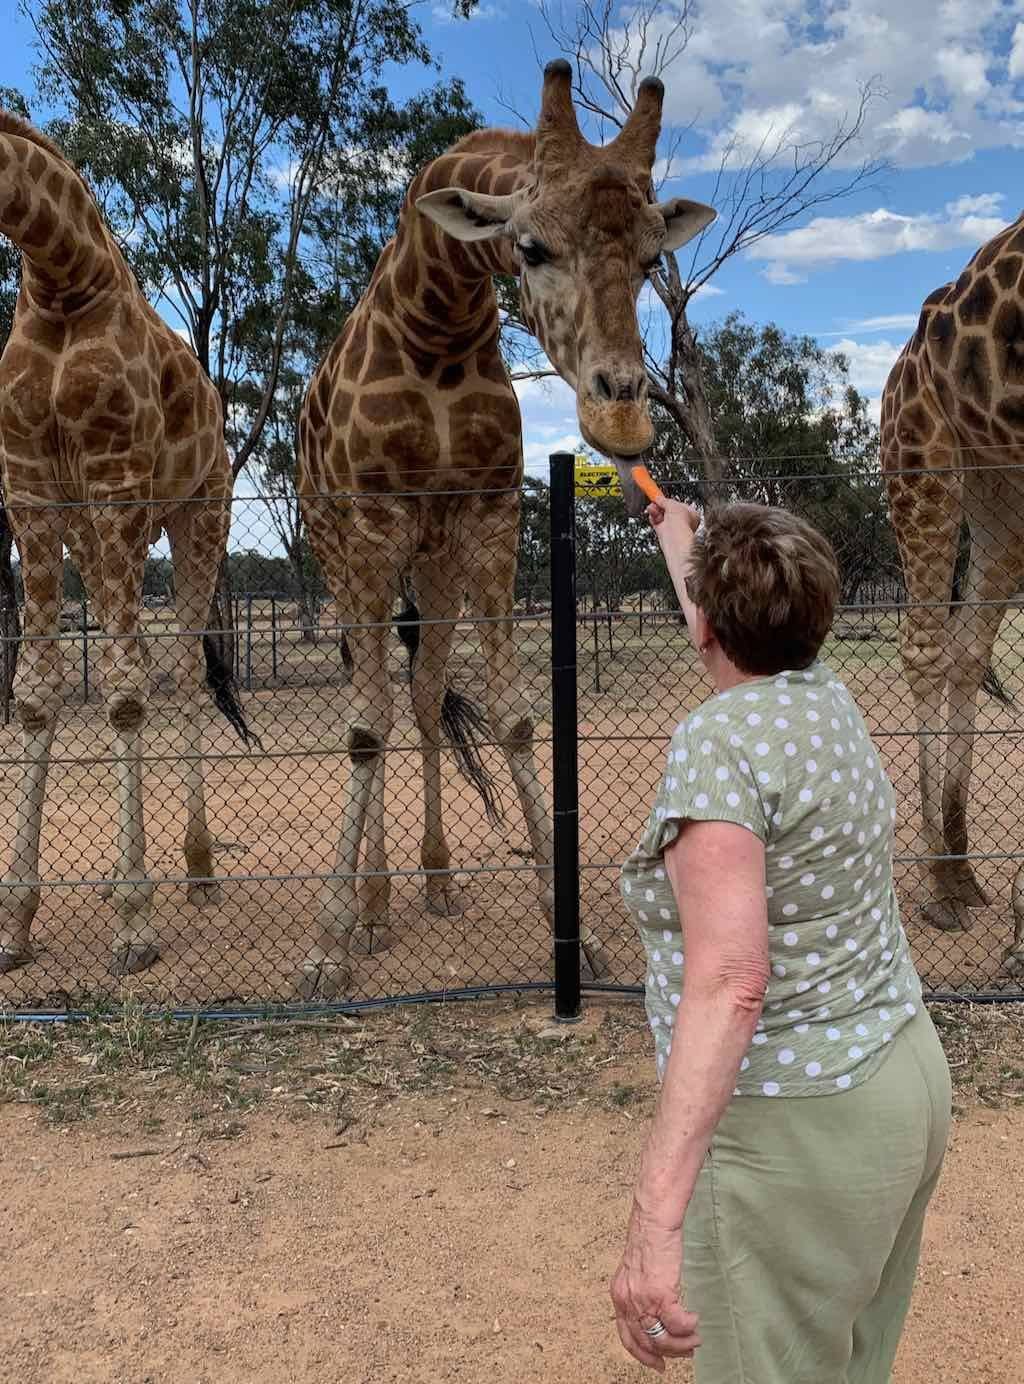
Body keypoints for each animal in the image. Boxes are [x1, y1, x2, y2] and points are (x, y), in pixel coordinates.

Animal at [0, 110, 253, 974]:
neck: (58, 278)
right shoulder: (31, 490)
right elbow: (35, 693)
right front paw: (15, 924)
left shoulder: (114, 477)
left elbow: (122, 691)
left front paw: (135, 924)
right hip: (104, 530)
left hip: (199, 513)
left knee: (178, 670)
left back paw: (199, 868)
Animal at [293, 62, 714, 996]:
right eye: (529, 248)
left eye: (651, 259)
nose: (622, 416)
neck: (437, 327)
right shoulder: (372, 524)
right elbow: (362, 729)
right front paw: (328, 947)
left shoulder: (488, 519)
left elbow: (513, 717)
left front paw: (574, 937)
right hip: (337, 552)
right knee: (374, 702)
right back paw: (372, 910)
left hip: (433, 565)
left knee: (419, 697)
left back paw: (434, 882)